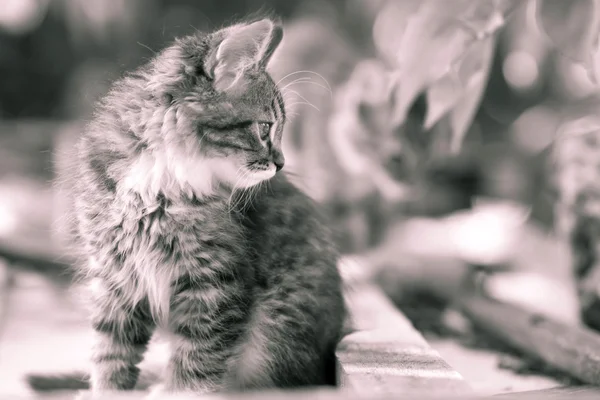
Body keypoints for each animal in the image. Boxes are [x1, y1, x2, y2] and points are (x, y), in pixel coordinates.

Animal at [39, 17, 344, 396]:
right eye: (265, 128)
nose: (281, 164)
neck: (159, 183)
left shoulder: (215, 281)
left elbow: (199, 357)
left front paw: (179, 390)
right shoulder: (116, 274)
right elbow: (110, 348)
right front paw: (105, 391)